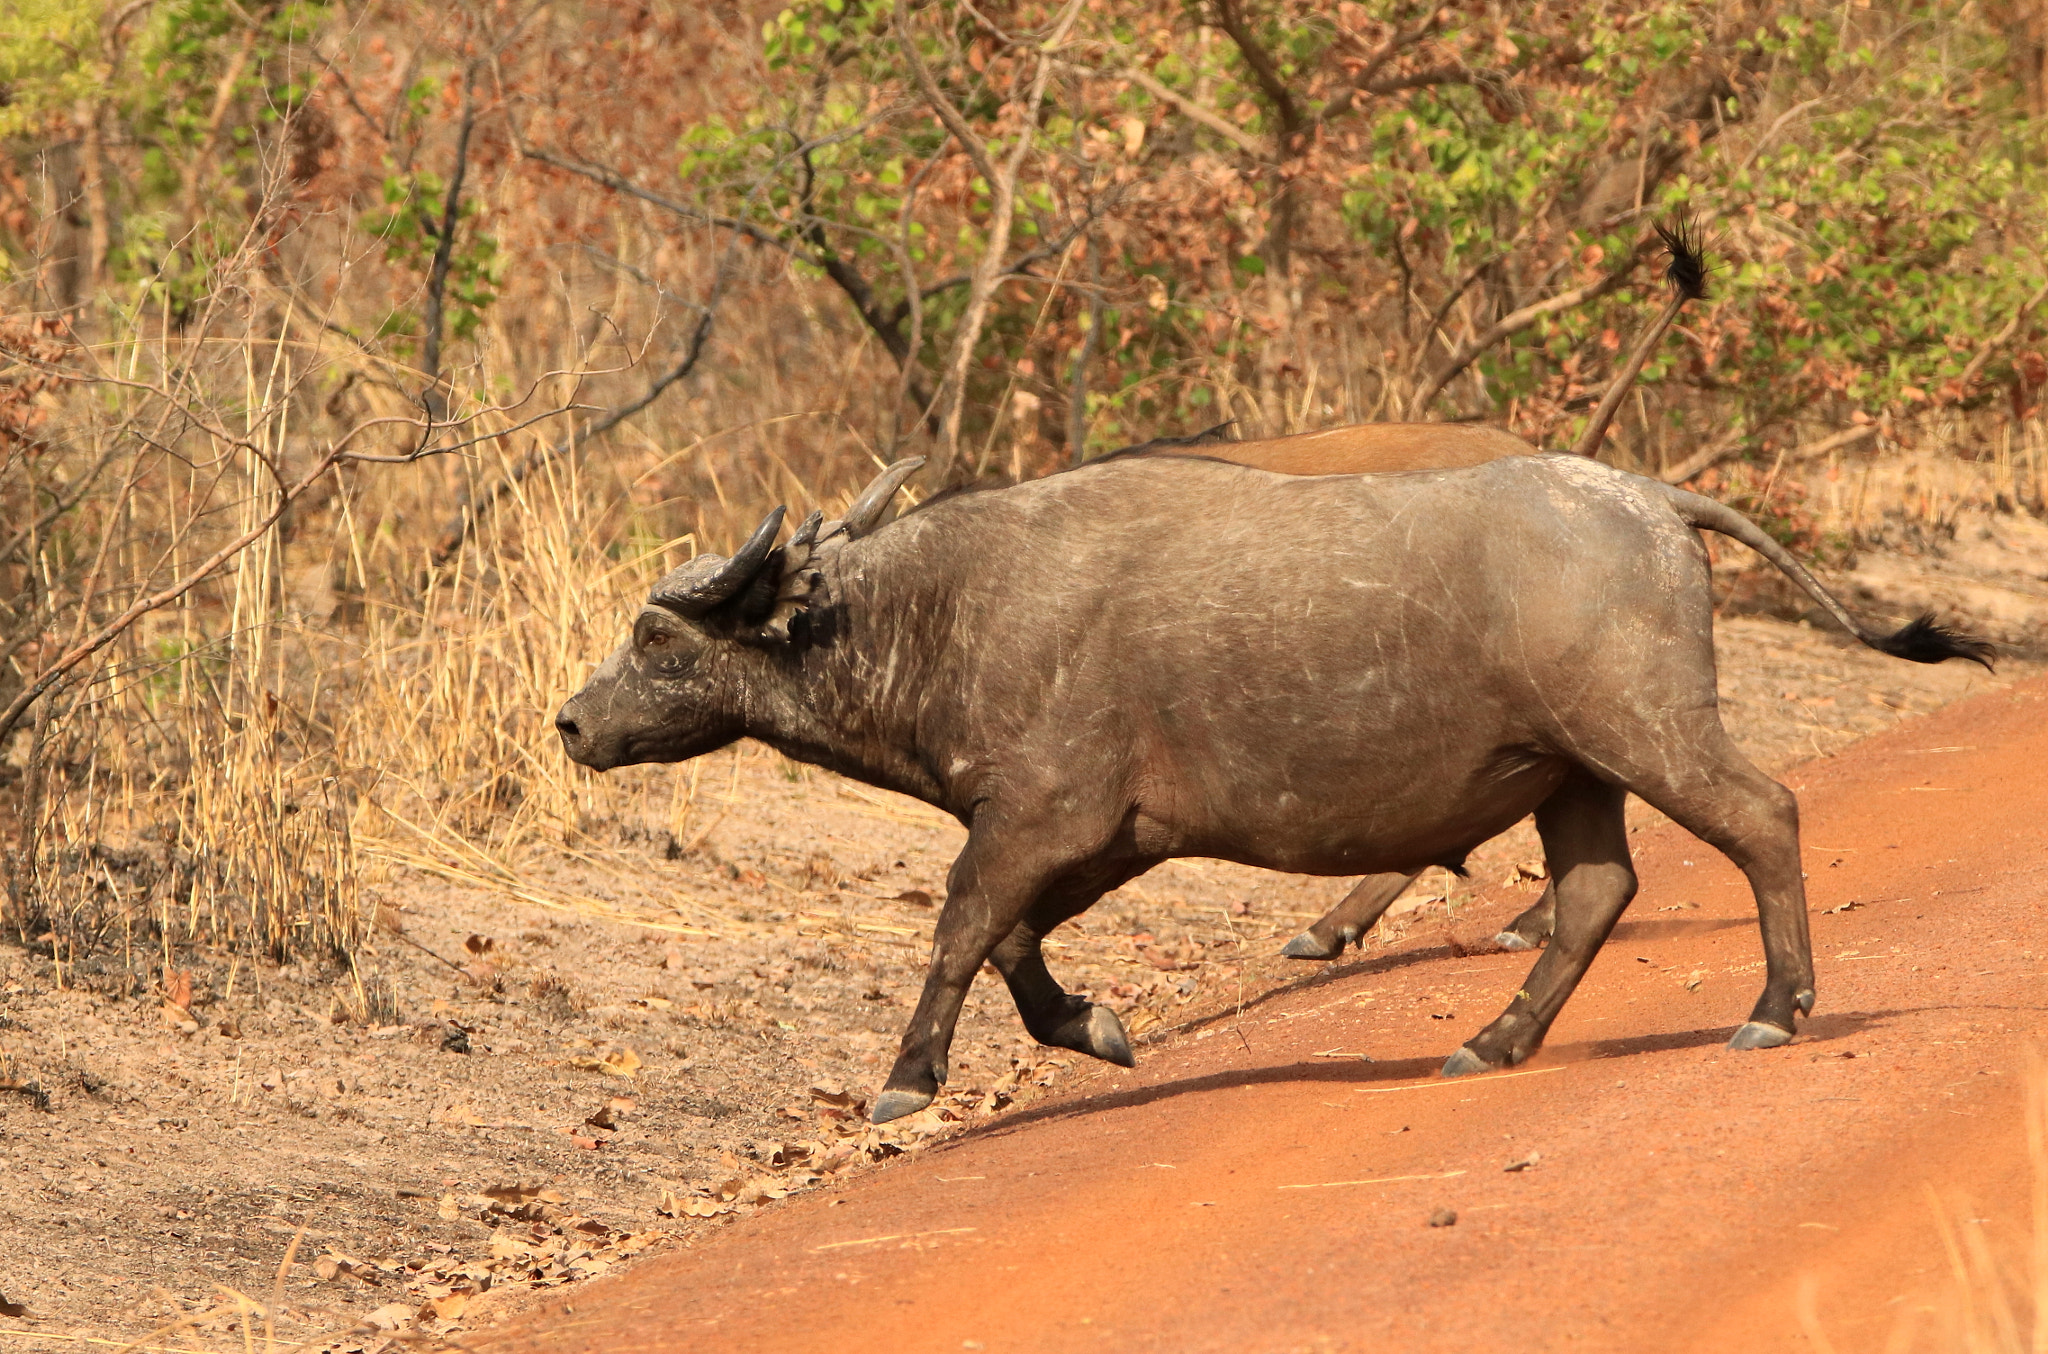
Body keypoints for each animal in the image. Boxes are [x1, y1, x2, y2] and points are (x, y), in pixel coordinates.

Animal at [557, 454, 1989, 1123]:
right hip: (1570, 775)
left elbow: (962, 926)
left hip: (1643, 732)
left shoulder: (1039, 818)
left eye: (656, 638)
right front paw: (1095, 1025)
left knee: (1761, 818)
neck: (946, 612)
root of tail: (1643, 493)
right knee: (1593, 891)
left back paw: (1774, 1008)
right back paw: (1491, 1040)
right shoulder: (1106, 836)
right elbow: (1016, 941)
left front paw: (909, 1077)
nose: (571, 722)